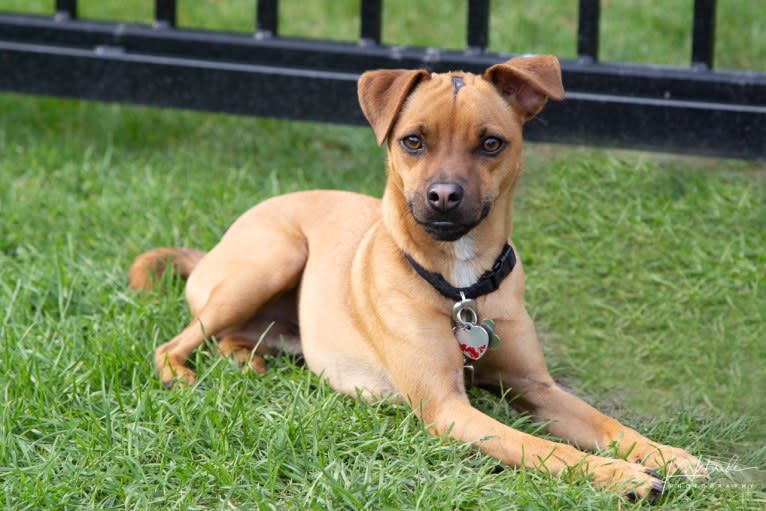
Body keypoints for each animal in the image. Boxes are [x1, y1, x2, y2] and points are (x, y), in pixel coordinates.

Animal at [129, 56, 712, 500]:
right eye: (412, 141)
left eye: (492, 143)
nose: (444, 196)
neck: (462, 287)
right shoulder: (449, 409)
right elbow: (544, 448)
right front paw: (620, 475)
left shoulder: (537, 387)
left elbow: (609, 424)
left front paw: (666, 454)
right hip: (274, 257)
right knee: (176, 342)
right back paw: (181, 376)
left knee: (235, 338)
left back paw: (248, 364)